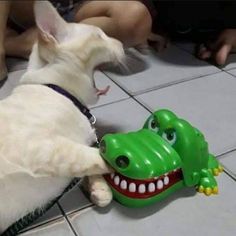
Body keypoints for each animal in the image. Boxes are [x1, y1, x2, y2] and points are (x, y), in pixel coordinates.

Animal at [0, 0, 124, 233]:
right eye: (99, 35)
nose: (121, 43)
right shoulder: (40, 147)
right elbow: (93, 156)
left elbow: (89, 162)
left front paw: (99, 190)